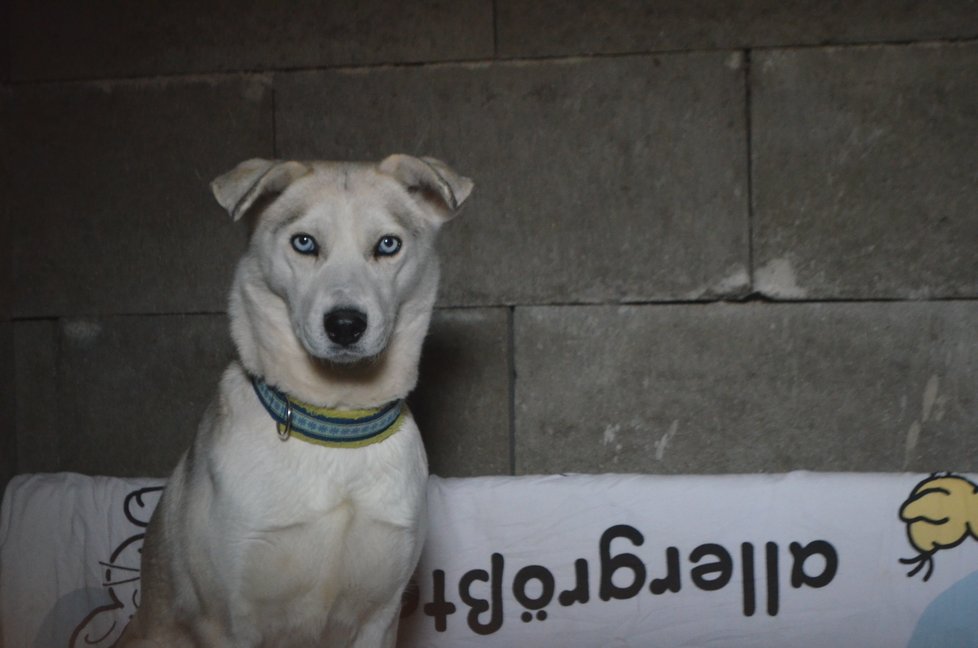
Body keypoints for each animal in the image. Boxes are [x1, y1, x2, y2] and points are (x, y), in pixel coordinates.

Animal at [116, 154, 474, 644]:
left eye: (387, 245)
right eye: (304, 243)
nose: (345, 325)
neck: (336, 423)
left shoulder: (381, 616)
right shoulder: (227, 621)